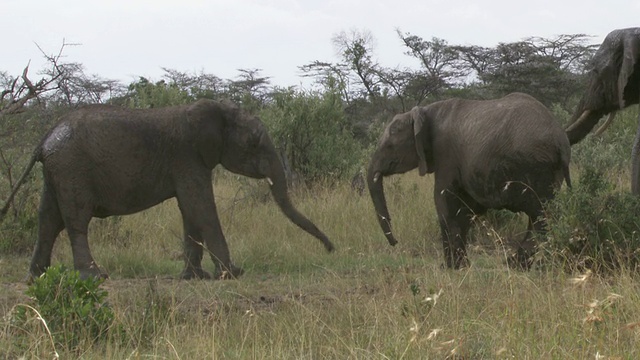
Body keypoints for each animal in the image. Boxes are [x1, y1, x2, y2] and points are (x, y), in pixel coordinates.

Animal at [2, 99, 336, 282]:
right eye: (253, 142)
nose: (331, 250)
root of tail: (45, 139)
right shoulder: (187, 156)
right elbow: (201, 206)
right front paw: (232, 274)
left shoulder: (190, 162)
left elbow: (190, 210)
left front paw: (195, 278)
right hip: (72, 169)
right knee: (76, 221)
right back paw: (97, 277)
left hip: (57, 172)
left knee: (48, 220)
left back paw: (35, 278)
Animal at [368, 91, 572, 268]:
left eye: (389, 146)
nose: (395, 242)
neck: (425, 111)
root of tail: (561, 141)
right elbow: (465, 208)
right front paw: (461, 265)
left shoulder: (446, 153)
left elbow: (444, 200)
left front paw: (451, 267)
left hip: (535, 166)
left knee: (541, 214)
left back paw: (514, 264)